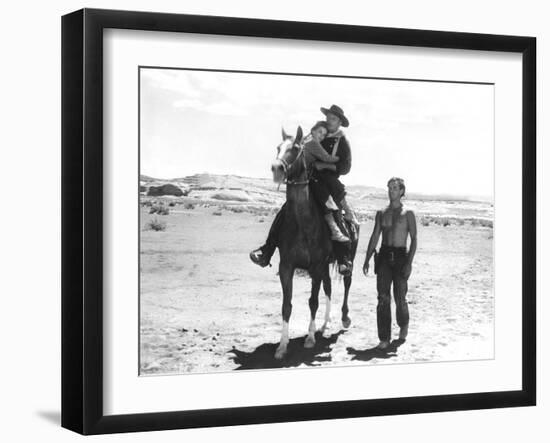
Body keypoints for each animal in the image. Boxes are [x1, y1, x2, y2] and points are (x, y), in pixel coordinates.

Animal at [272, 125, 362, 360]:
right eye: (278, 147)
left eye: (296, 148)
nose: (276, 168)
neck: (302, 222)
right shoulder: (287, 267)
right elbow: (286, 306)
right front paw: (282, 346)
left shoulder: (315, 266)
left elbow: (312, 302)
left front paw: (310, 339)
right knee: (329, 289)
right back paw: (324, 324)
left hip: (346, 260)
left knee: (346, 283)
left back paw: (344, 319)